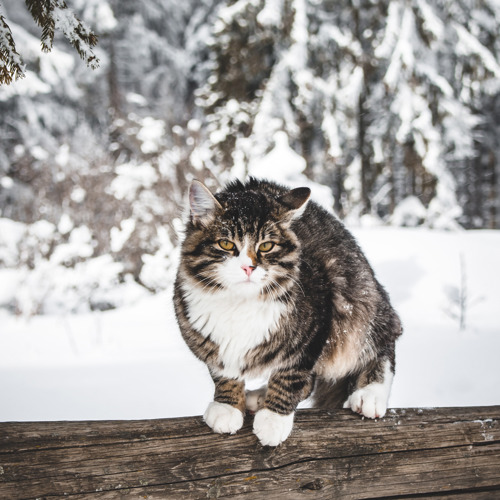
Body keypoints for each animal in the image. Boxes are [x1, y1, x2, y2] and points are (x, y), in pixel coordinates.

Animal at [174, 178, 400, 448]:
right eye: (226, 244)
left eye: (266, 246)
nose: (248, 267)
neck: (239, 303)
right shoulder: (206, 339)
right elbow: (222, 372)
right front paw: (227, 406)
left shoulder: (317, 325)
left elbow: (290, 377)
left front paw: (274, 419)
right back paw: (258, 396)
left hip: (360, 306)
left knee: (382, 343)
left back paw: (370, 394)